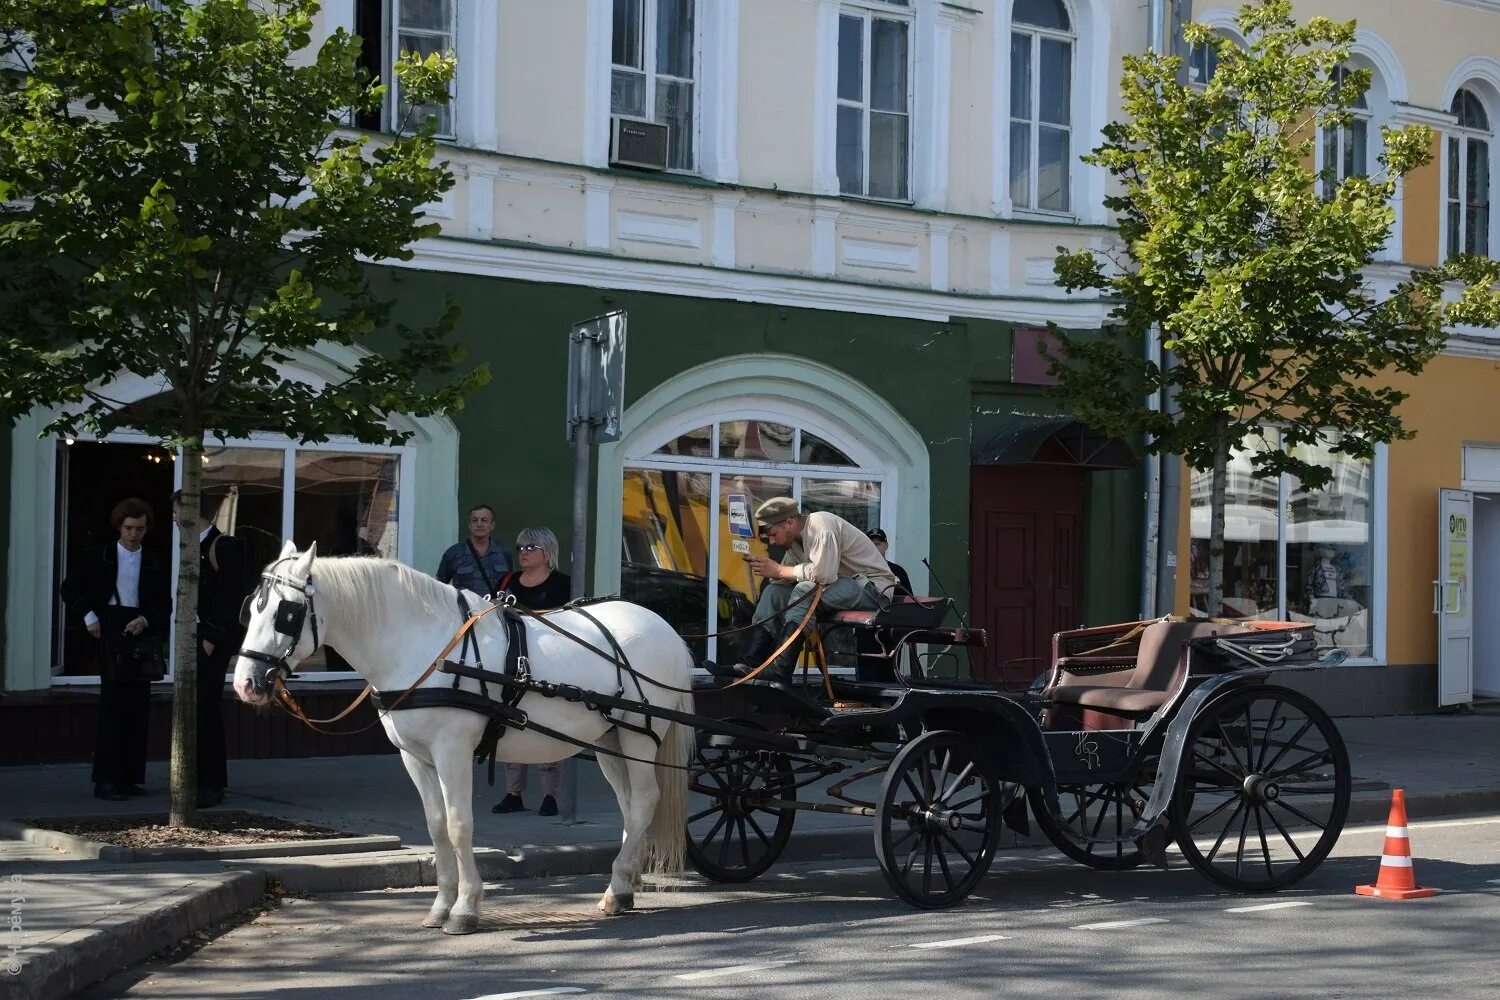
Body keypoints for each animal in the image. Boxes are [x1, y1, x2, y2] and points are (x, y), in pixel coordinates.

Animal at [232, 542, 696, 935]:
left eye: (286, 613)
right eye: (251, 610)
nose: (246, 683)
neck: (424, 647)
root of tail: (664, 627)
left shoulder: (452, 749)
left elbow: (459, 826)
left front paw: (466, 908)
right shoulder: (416, 757)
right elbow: (436, 827)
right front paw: (440, 905)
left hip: (640, 737)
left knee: (645, 800)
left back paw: (617, 887)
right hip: (611, 740)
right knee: (630, 806)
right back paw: (625, 882)